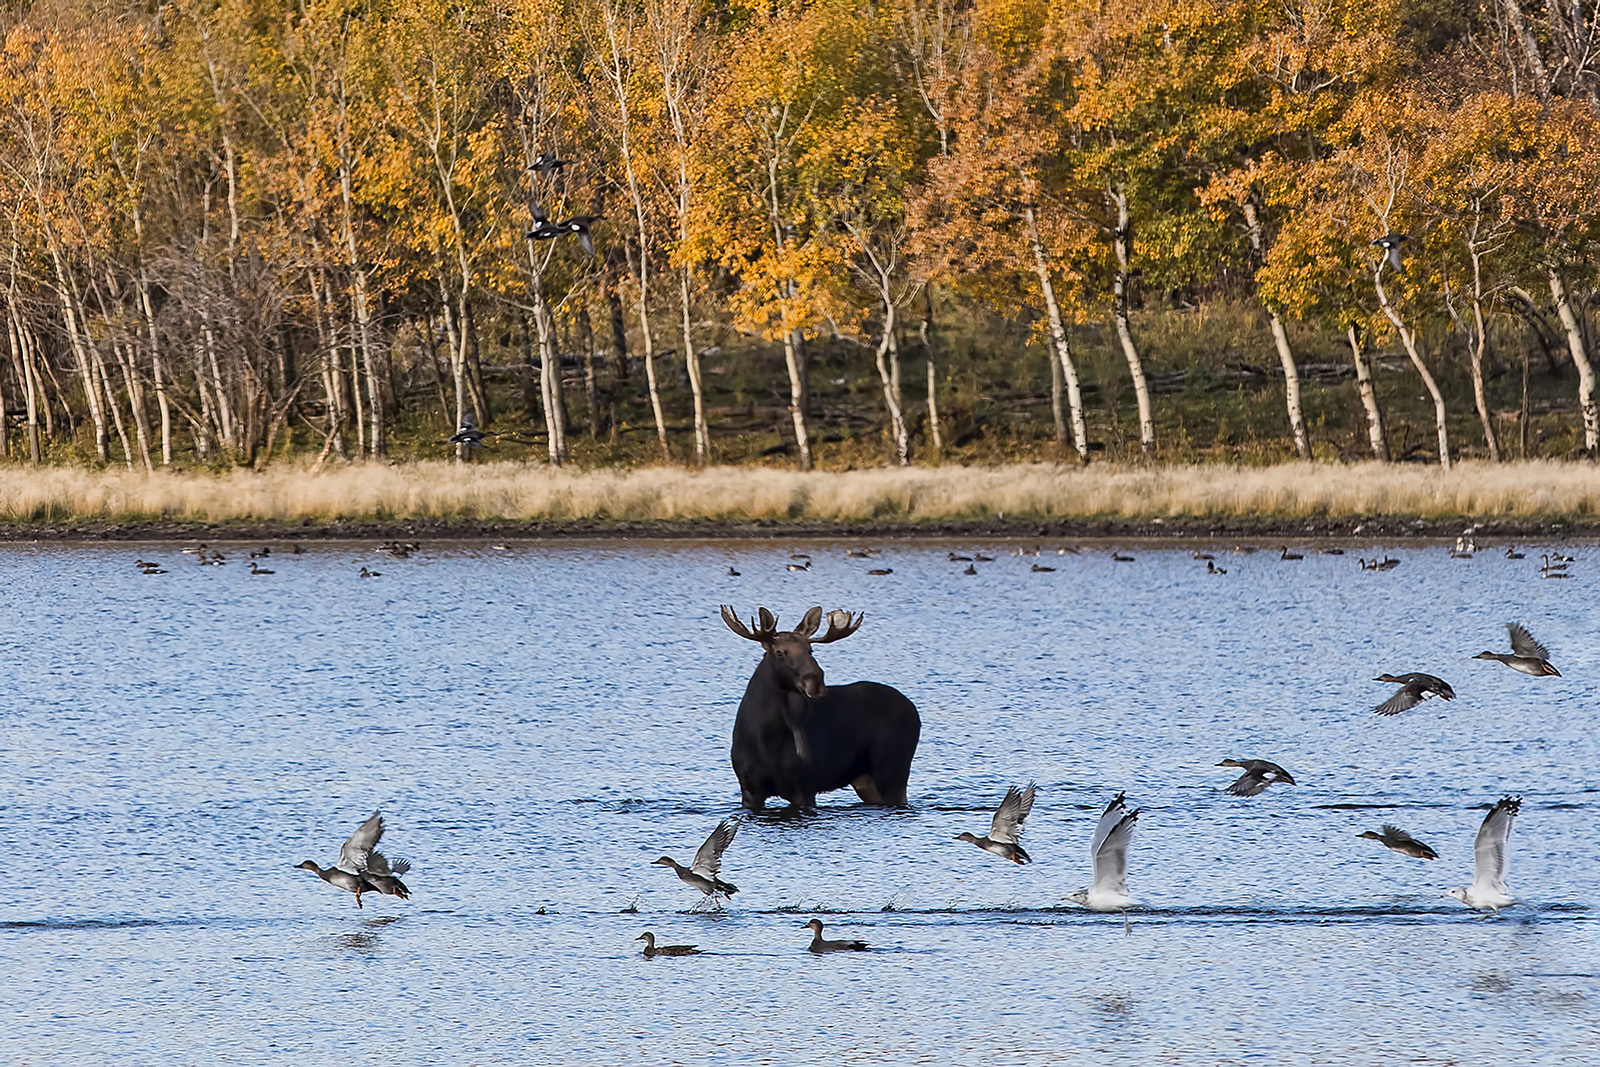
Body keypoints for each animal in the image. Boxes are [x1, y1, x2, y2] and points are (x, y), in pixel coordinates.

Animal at [720, 604, 921, 812]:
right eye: (779, 652)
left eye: (810, 650)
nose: (816, 681)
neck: (767, 739)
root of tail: (914, 710)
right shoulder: (750, 789)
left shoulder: (805, 786)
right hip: (866, 779)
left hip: (892, 771)